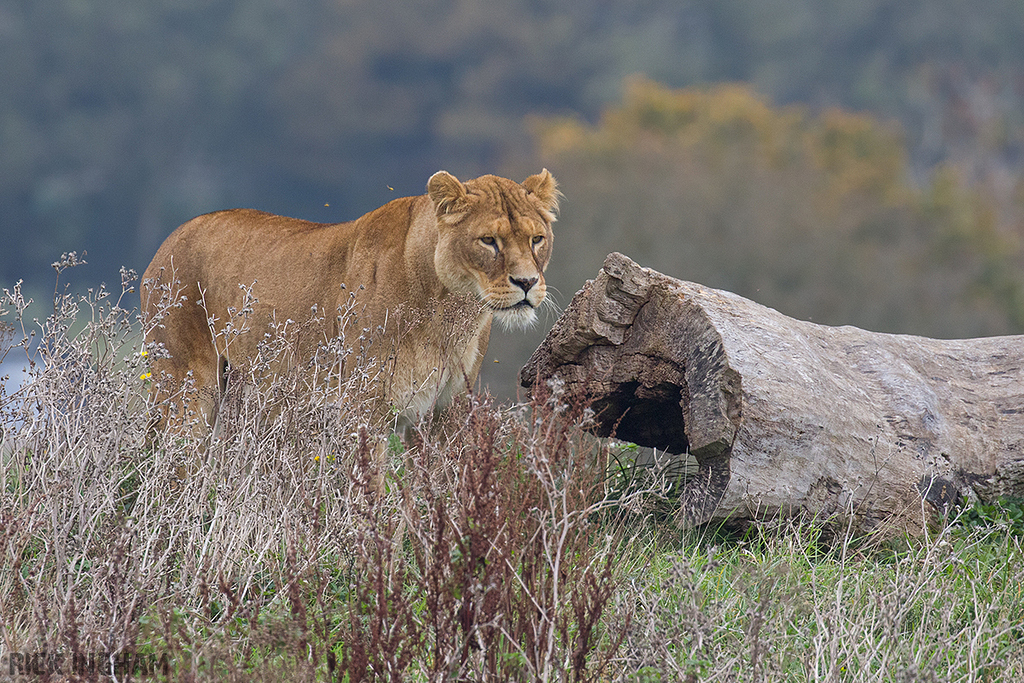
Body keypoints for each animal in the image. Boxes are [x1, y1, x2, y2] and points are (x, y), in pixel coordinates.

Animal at [141, 170, 559, 435]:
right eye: (489, 241)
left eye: (537, 239)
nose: (527, 282)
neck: (451, 310)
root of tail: (167, 242)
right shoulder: (364, 408)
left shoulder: (444, 411)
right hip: (187, 390)